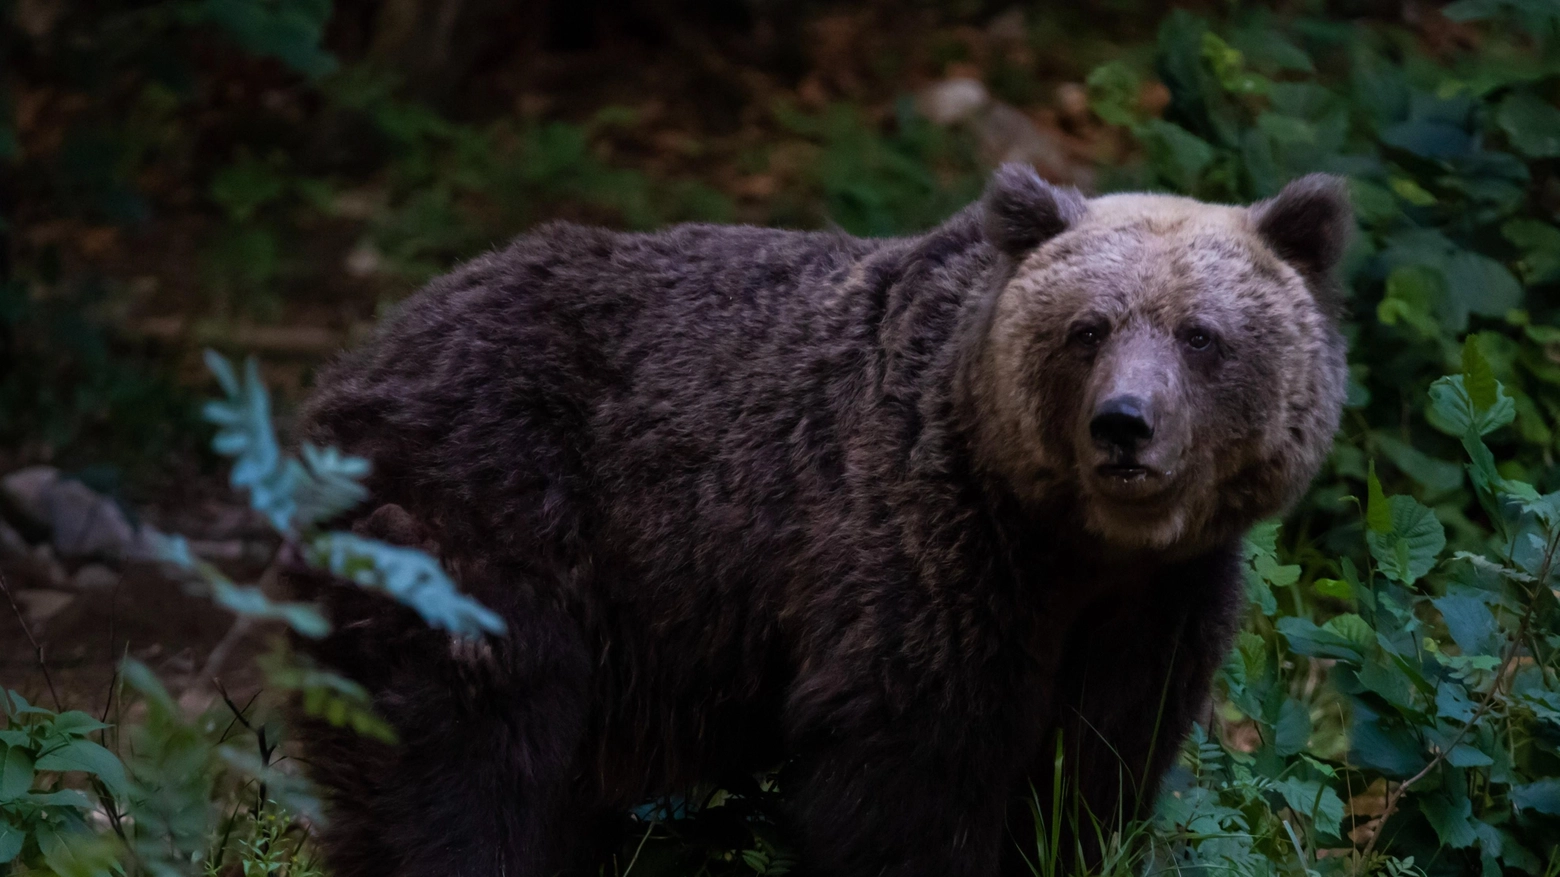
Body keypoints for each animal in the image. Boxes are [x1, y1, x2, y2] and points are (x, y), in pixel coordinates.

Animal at [293, 165, 1354, 873]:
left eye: (1200, 334)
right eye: (1086, 328)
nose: (1124, 424)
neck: (1075, 547)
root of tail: (361, 357)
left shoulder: (1159, 607)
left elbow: (1092, 776)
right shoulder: (929, 556)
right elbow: (908, 782)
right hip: (493, 515)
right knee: (472, 761)